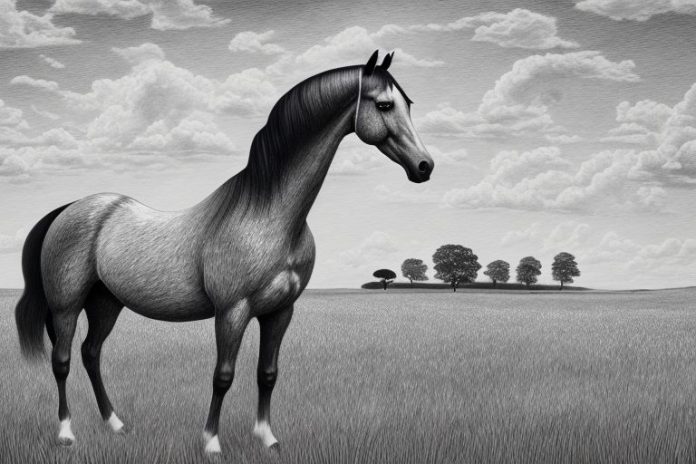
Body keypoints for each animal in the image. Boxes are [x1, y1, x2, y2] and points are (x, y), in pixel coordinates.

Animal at [14, 50, 433, 455]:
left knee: (91, 354)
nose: (424, 166)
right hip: (67, 306)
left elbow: (268, 374)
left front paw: (267, 437)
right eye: (383, 105)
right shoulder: (232, 311)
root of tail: (72, 209)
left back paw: (115, 424)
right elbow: (223, 376)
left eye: (408, 104)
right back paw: (66, 433)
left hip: (106, 302)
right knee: (63, 361)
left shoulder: (280, 312)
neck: (267, 215)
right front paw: (212, 442)